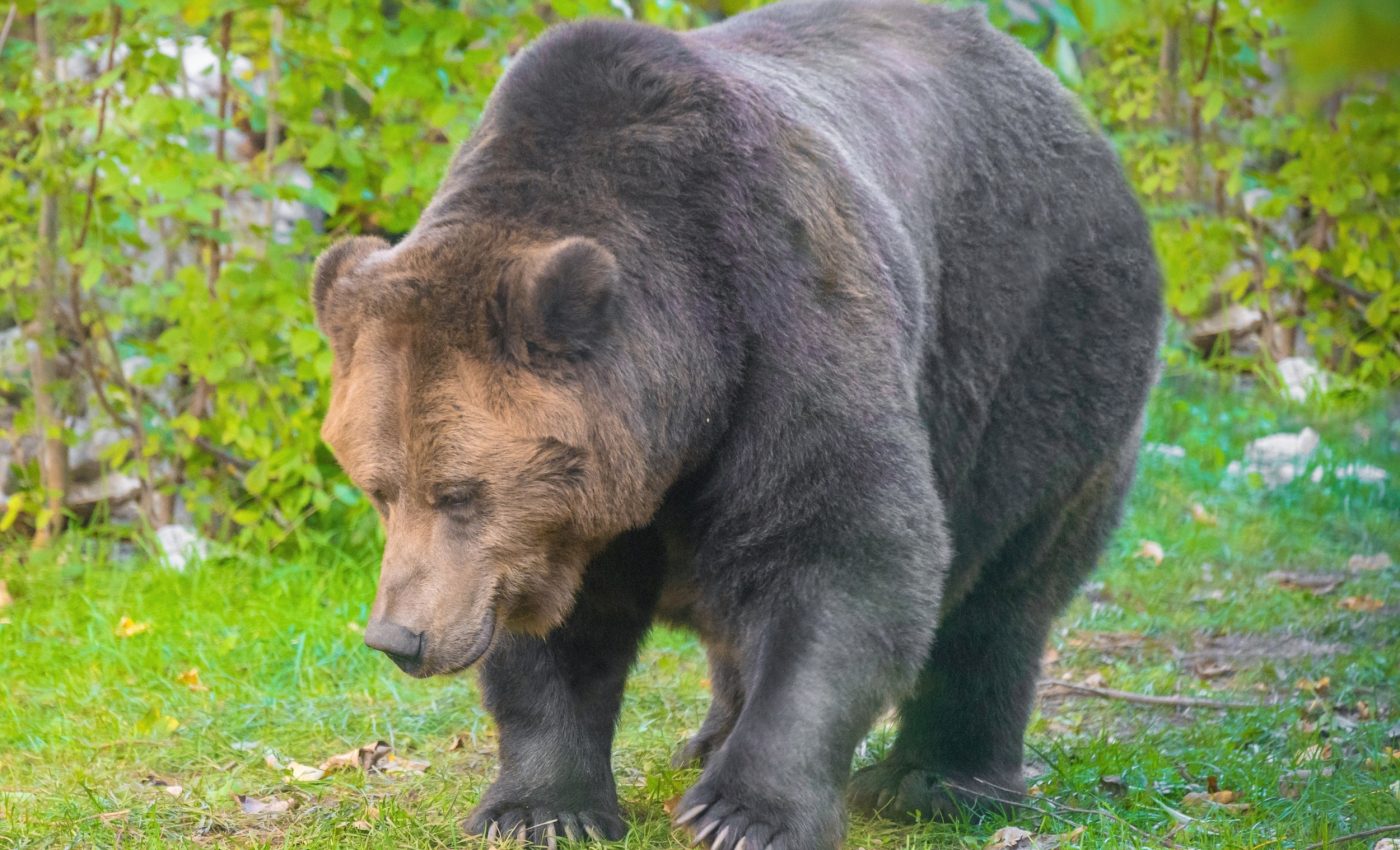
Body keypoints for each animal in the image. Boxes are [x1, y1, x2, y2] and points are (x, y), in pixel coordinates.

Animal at [310, 0, 1163, 847]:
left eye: (459, 492)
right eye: (379, 488)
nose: (398, 637)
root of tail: (1066, 103)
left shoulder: (782, 317)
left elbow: (844, 550)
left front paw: (743, 813)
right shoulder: (567, 521)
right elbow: (555, 632)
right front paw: (540, 807)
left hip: (1037, 341)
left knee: (1005, 584)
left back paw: (937, 779)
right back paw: (711, 738)